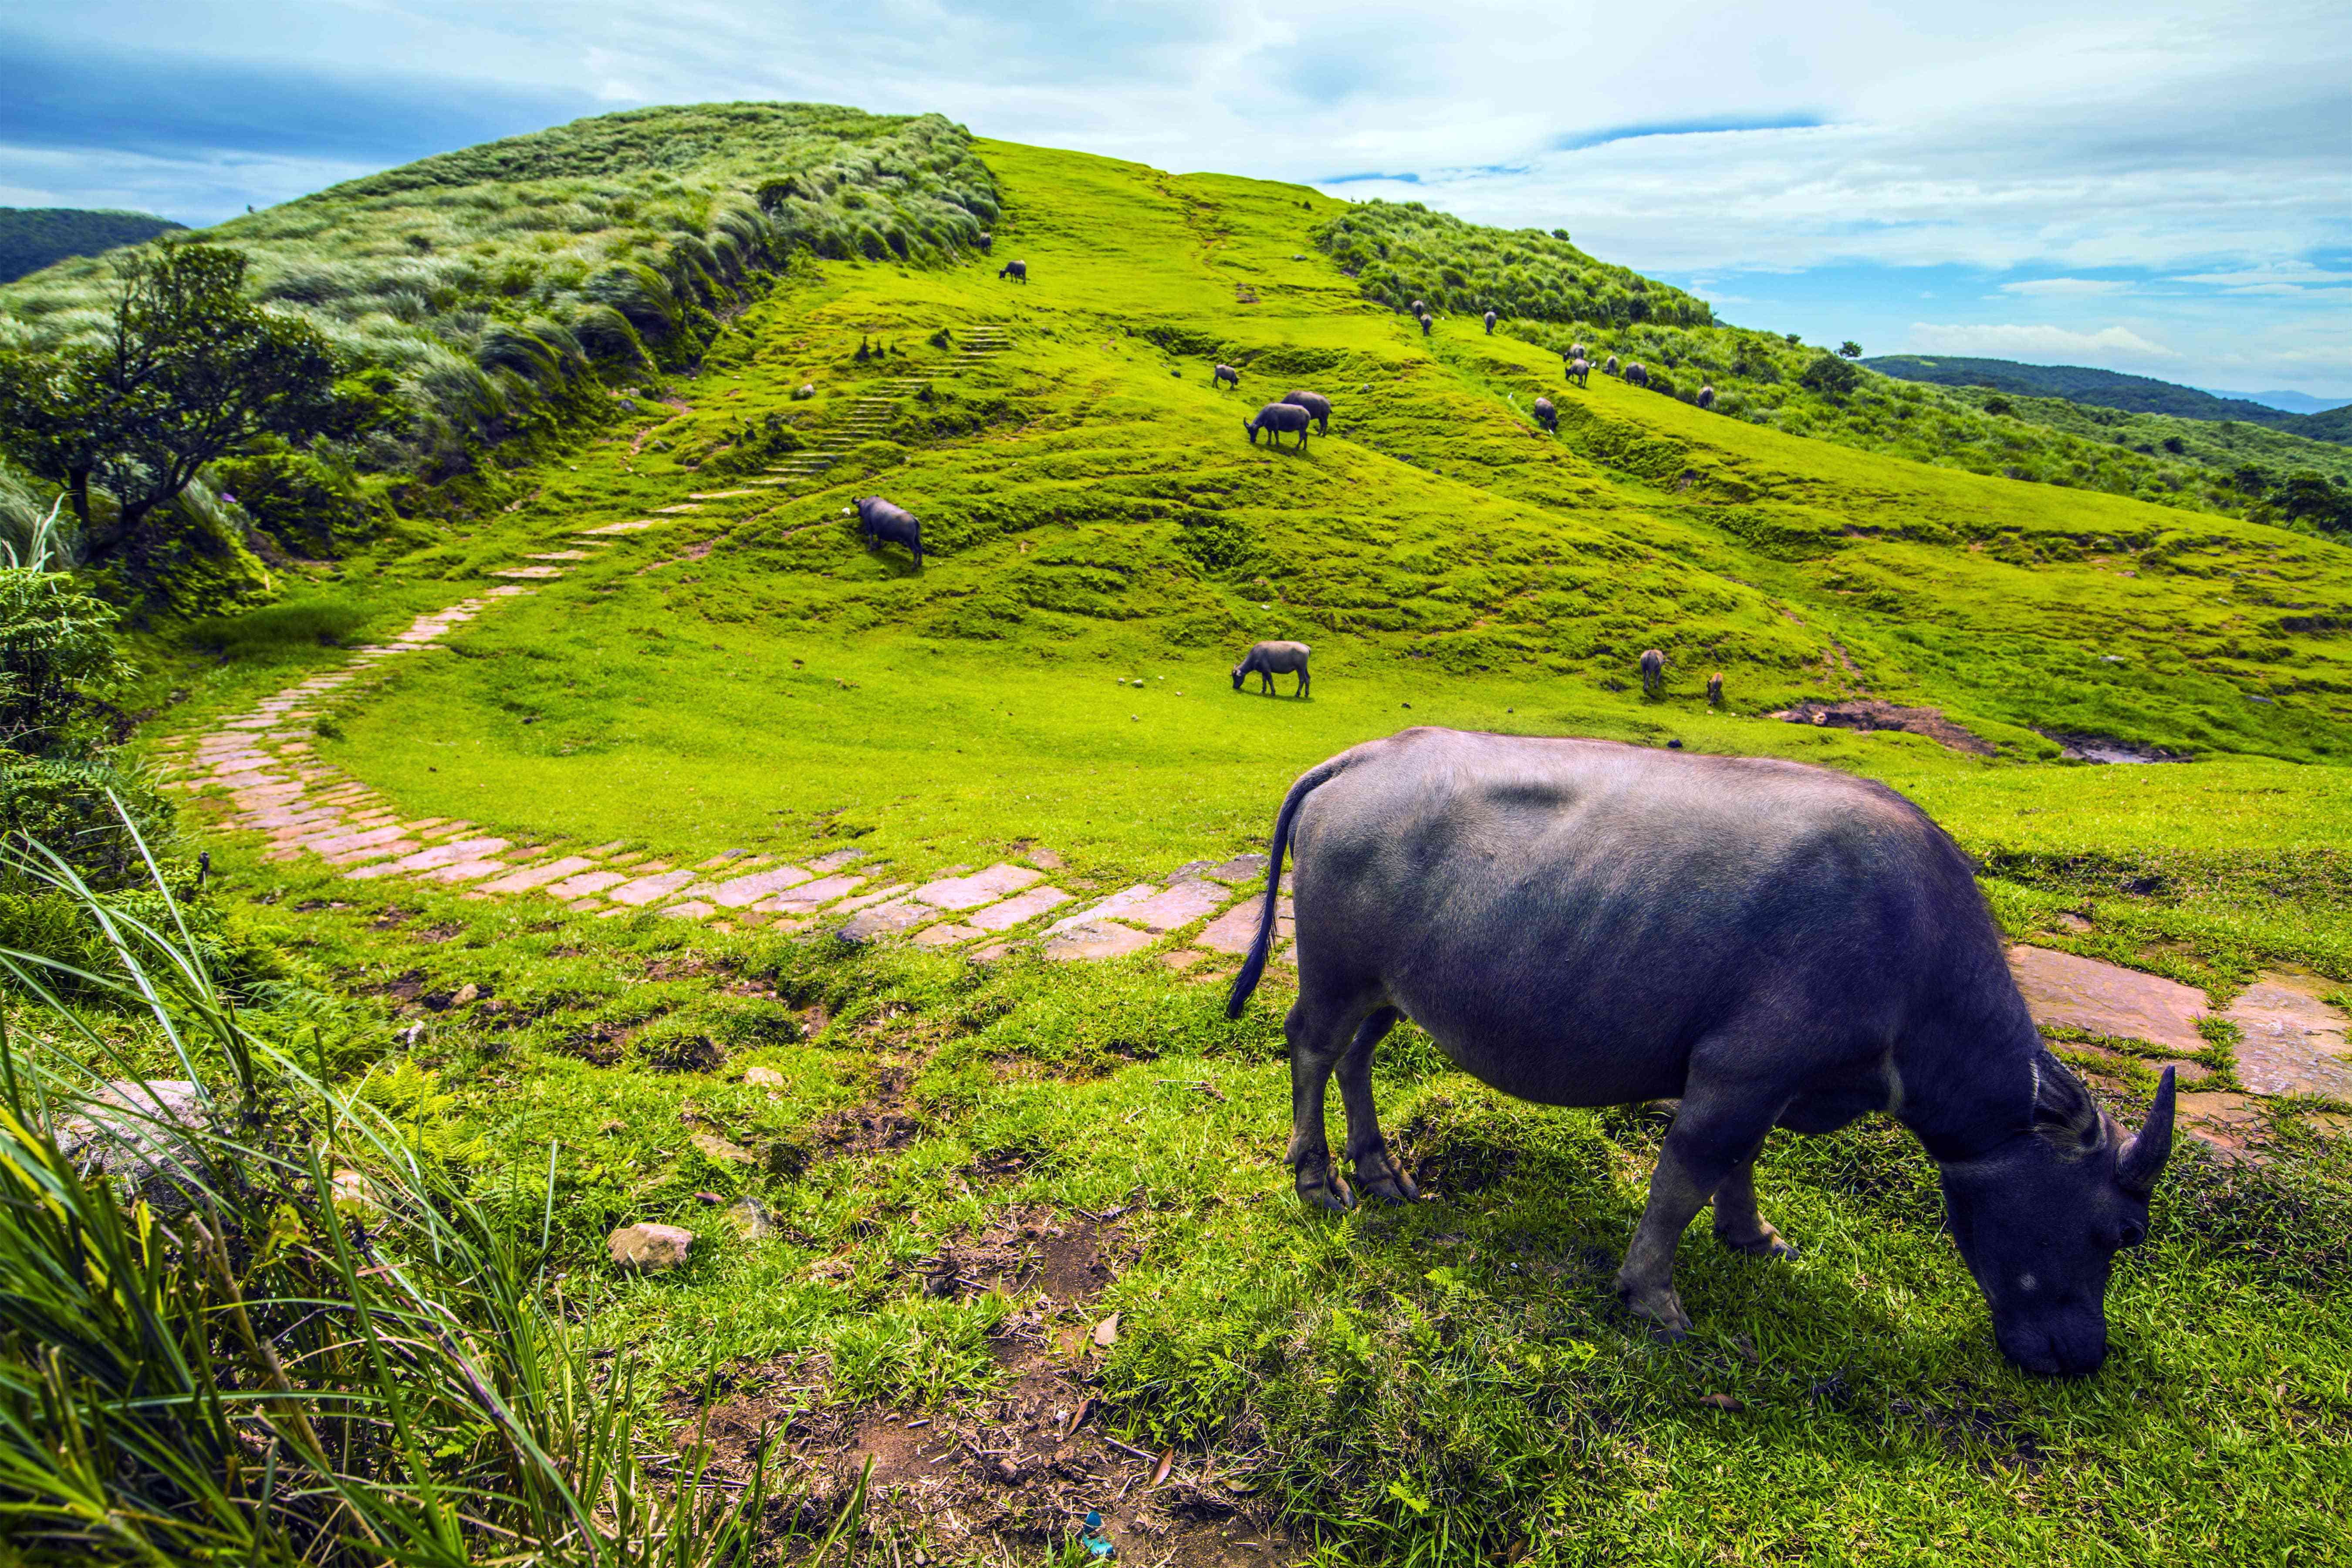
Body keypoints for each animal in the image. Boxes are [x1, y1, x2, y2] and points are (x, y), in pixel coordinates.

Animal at [847, 500, 917, 566]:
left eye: (859, 507)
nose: (858, 514)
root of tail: (915, 520)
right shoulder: (879, 531)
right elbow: (879, 539)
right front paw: (877, 546)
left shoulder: (870, 526)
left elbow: (871, 537)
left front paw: (871, 548)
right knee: (919, 549)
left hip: (910, 541)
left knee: (915, 551)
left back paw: (914, 566)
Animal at [1232, 724, 2183, 1373]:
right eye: (2123, 1231)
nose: (2083, 1354)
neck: (1913, 957)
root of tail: (1358, 760)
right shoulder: (1738, 1071)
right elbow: (1686, 1176)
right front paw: (1653, 1296)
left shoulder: (1770, 1079)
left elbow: (1741, 1165)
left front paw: (1752, 1235)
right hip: (1336, 972)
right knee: (1311, 1048)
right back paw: (1317, 1177)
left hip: (1394, 990)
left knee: (1356, 1058)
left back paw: (1381, 1171)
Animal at [1242, 402, 1317, 451]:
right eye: (1249, 432)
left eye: (1255, 432)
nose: (1252, 441)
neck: (1267, 414)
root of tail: (1308, 414)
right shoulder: (1269, 428)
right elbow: (1270, 435)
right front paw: (1268, 443)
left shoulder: (1276, 428)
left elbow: (1276, 435)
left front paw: (1277, 444)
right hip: (1303, 429)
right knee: (1306, 436)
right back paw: (1304, 448)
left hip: (1302, 428)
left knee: (1302, 437)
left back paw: (1296, 447)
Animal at [1242, 639, 1317, 696]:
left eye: (1238, 676)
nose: (1238, 688)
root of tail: (1306, 647)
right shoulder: (1264, 671)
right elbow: (1264, 680)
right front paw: (1263, 691)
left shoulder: (1267, 670)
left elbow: (1270, 681)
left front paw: (1273, 692)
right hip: (1304, 668)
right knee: (1308, 679)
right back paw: (1306, 694)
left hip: (1300, 669)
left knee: (1302, 680)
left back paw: (1297, 694)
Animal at [1279, 390, 1336, 435]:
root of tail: (1328, 402)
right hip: (1320, 417)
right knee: (1322, 424)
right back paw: (1319, 434)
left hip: (1325, 416)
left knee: (1326, 424)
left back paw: (1324, 435)